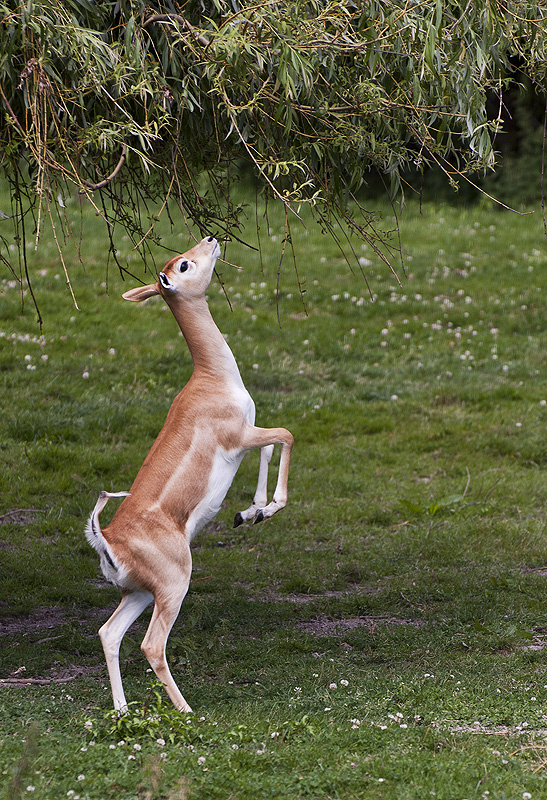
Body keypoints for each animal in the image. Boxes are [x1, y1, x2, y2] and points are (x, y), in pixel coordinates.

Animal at [85, 238, 294, 712]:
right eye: (183, 265)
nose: (211, 239)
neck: (212, 379)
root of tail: (109, 541)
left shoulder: (248, 436)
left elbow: (270, 447)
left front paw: (250, 512)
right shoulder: (240, 435)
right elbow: (286, 436)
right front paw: (268, 507)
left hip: (140, 592)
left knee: (108, 633)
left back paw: (122, 710)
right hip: (173, 586)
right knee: (150, 644)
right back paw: (187, 710)